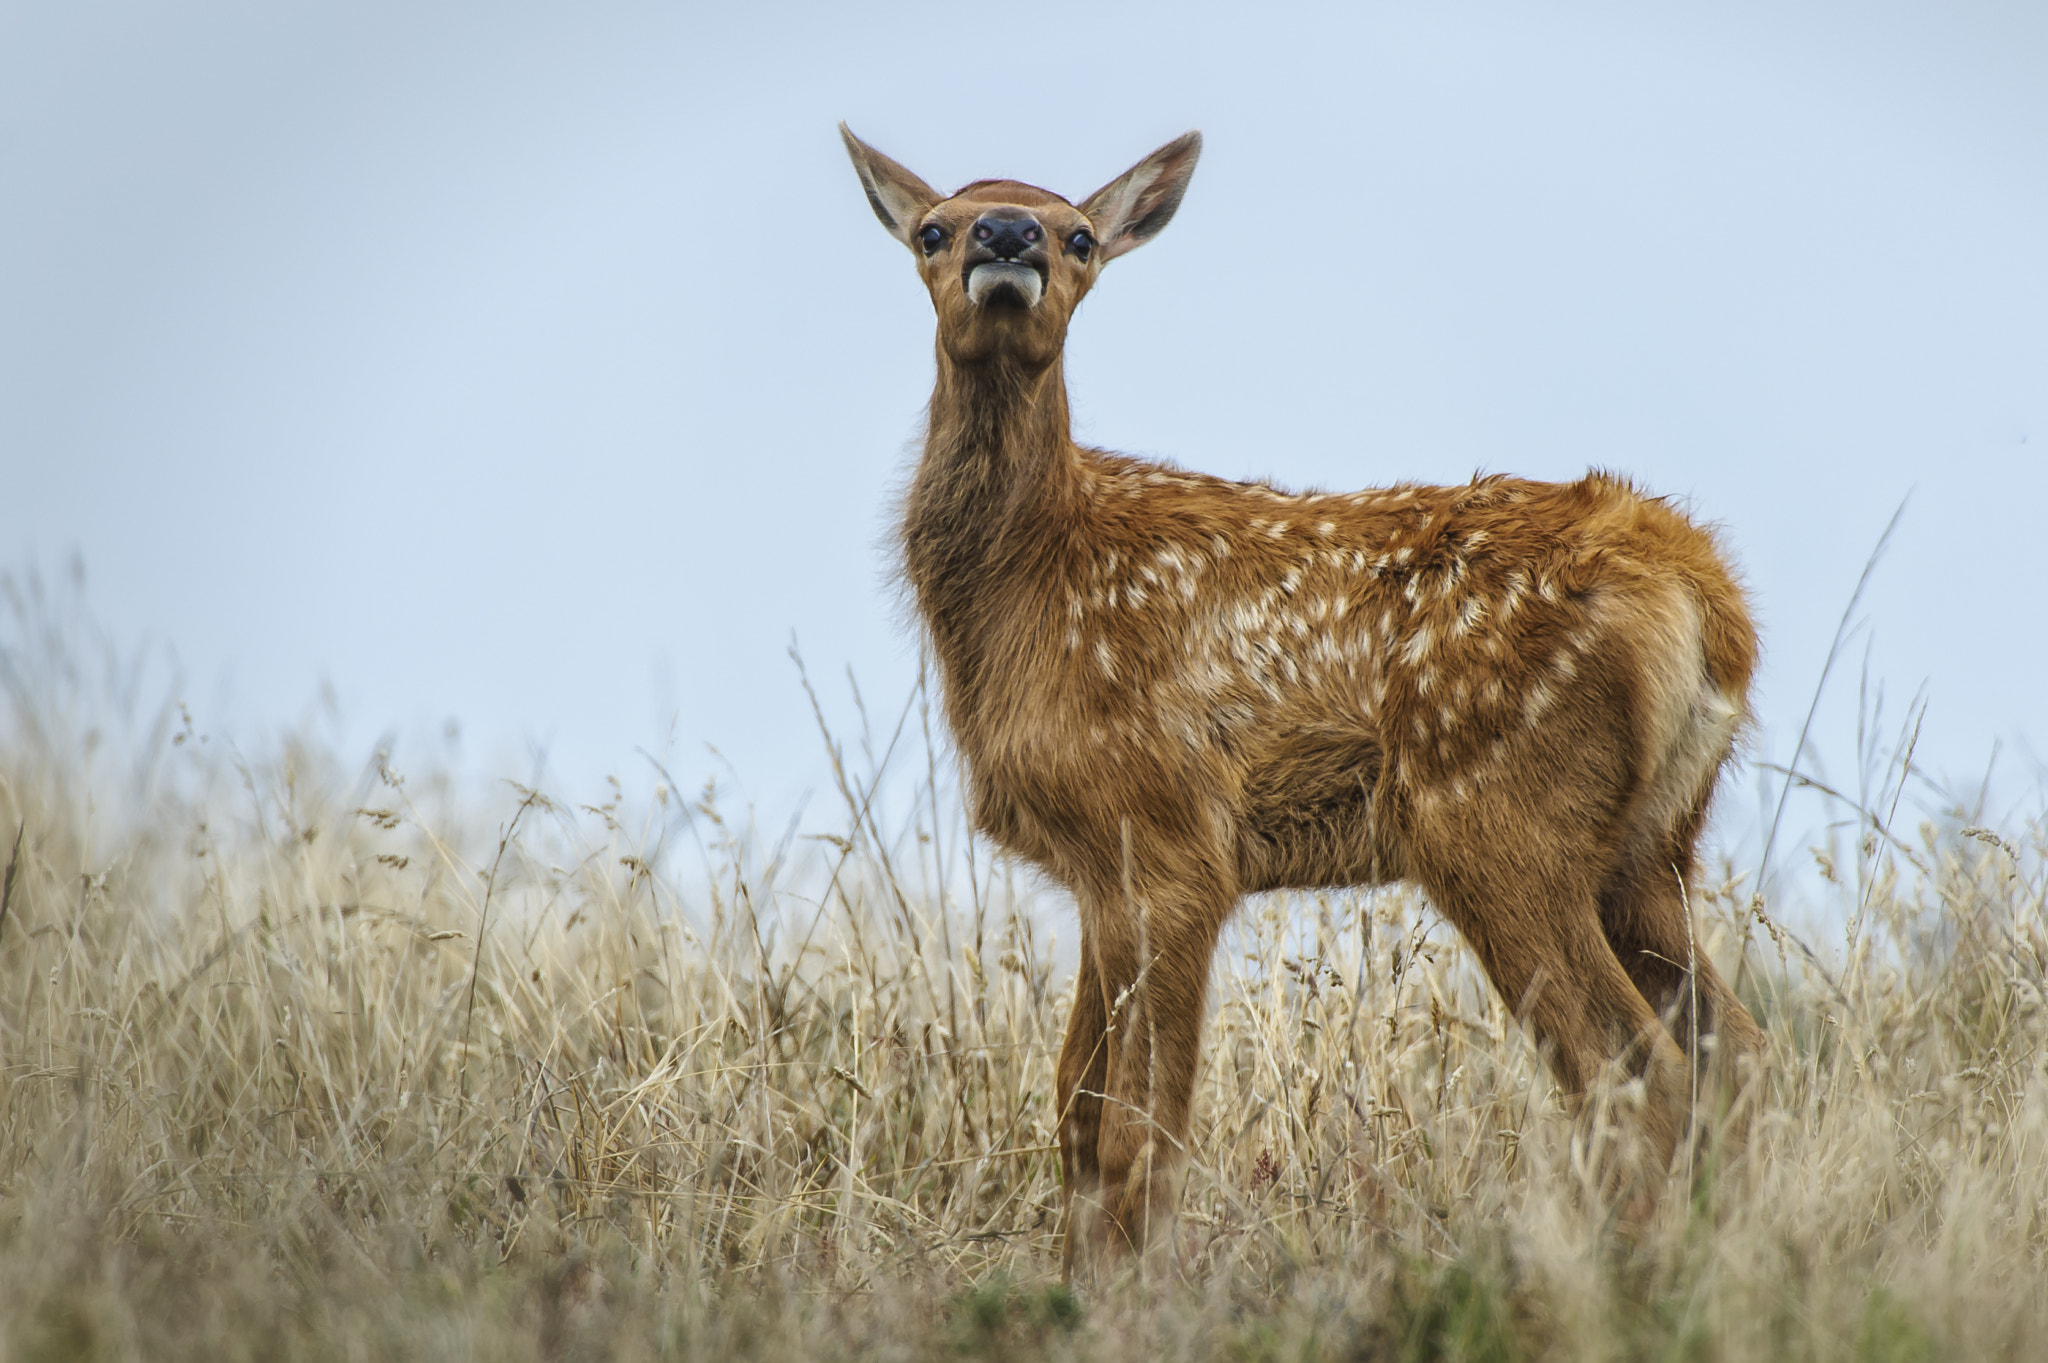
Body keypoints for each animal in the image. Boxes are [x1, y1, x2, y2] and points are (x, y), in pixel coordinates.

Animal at [839, 124, 1768, 1270]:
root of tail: (1704, 592)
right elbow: (1074, 1110)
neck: (1035, 578)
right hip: (1649, 849)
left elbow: (1138, 1128)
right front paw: (1078, 1282)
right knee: (1737, 1054)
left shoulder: (1169, 840)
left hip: (1498, 817)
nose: (1006, 237)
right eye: (934, 227)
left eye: (1078, 235)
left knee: (1629, 1072)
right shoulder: (1103, 866)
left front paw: (1125, 1289)